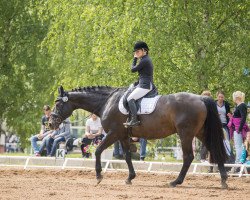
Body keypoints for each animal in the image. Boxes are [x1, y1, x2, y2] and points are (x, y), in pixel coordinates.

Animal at [49, 85, 228, 188]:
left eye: (58, 104)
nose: (50, 123)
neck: (107, 102)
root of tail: (201, 98)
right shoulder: (123, 136)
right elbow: (127, 156)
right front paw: (130, 177)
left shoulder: (113, 133)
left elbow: (98, 150)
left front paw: (99, 176)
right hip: (200, 132)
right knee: (215, 150)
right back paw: (224, 180)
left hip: (186, 134)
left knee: (189, 156)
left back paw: (176, 181)